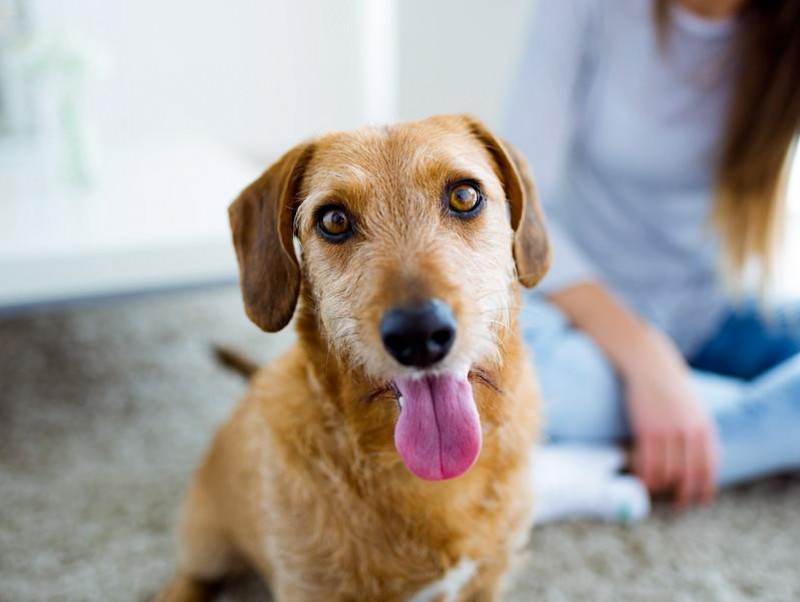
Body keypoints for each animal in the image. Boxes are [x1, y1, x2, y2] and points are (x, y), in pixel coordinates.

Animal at [156, 113, 552, 600]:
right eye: (334, 219)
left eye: (465, 195)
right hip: (208, 541)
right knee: (189, 577)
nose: (420, 335)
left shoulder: (489, 578)